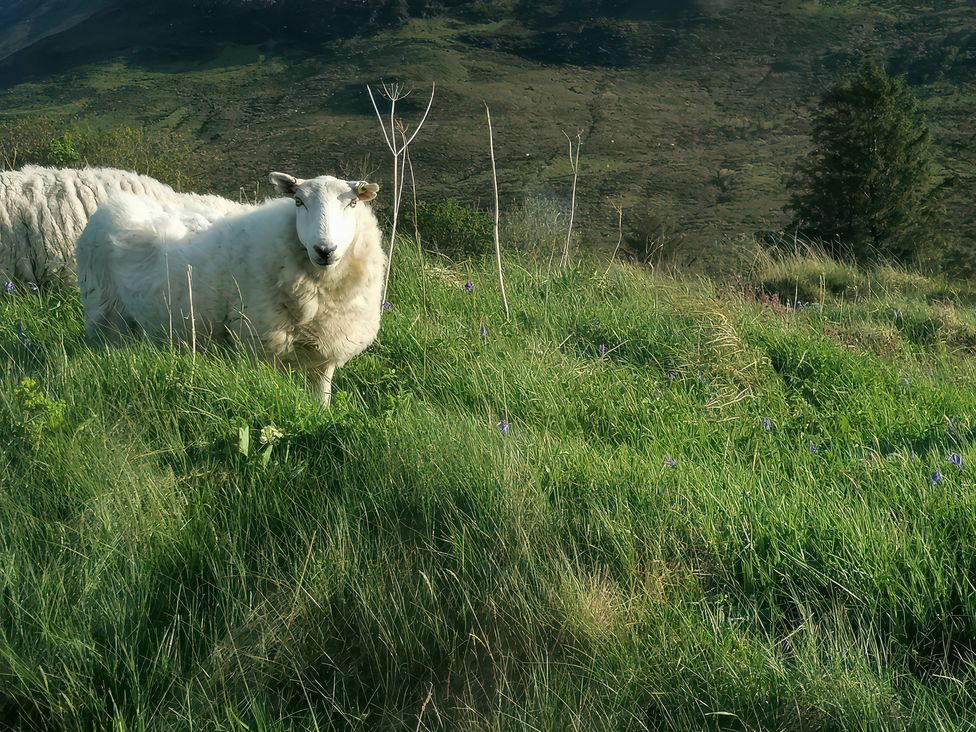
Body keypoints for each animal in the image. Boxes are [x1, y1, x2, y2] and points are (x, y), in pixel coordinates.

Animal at [77, 172, 385, 405]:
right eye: (299, 201)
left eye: (352, 204)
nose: (325, 249)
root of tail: (109, 207)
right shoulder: (260, 345)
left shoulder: (324, 353)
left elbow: (322, 400)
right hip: (104, 316)